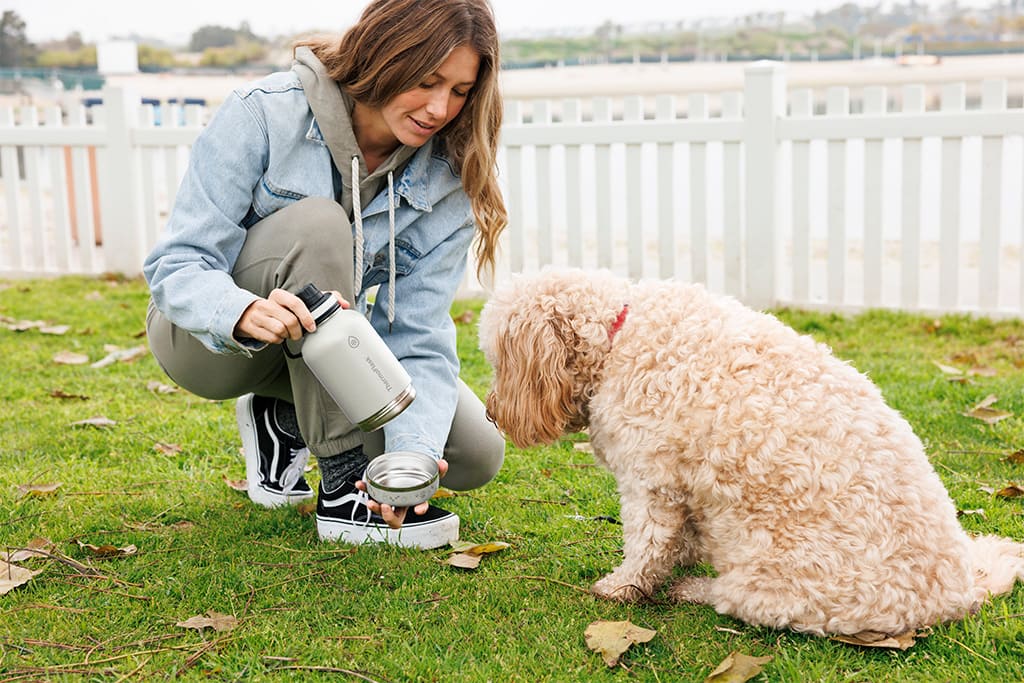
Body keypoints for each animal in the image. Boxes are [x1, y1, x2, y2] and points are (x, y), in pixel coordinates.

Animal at [479, 266, 1024, 634]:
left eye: (497, 361)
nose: (490, 412)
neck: (618, 336)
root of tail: (955, 592)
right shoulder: (682, 487)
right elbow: (679, 539)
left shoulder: (649, 482)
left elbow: (647, 545)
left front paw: (622, 586)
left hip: (770, 581)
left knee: (732, 599)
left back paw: (693, 590)